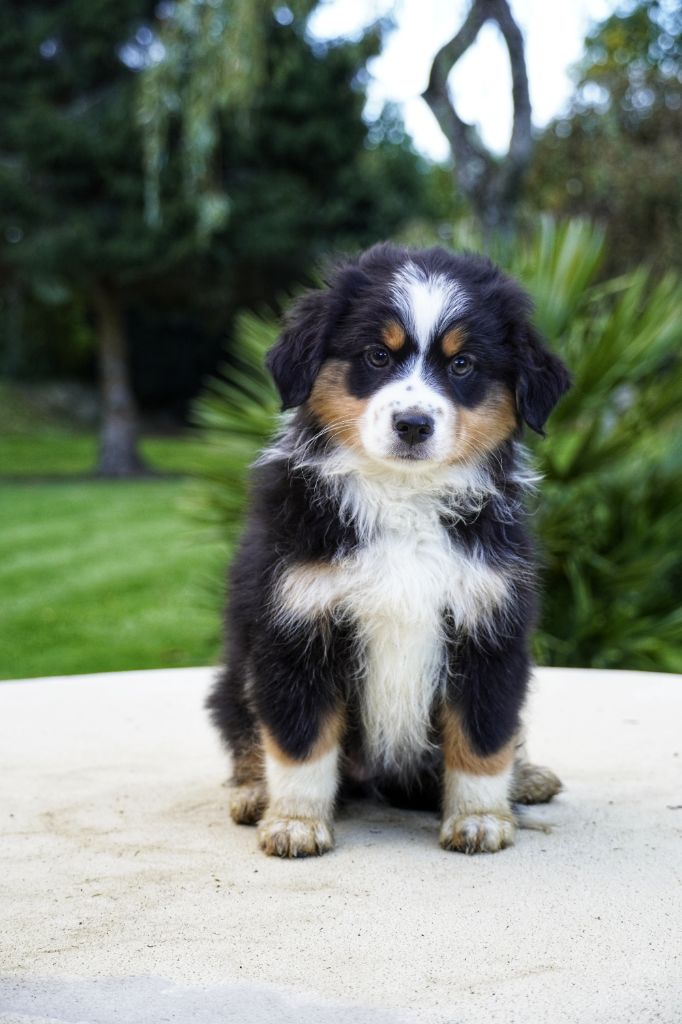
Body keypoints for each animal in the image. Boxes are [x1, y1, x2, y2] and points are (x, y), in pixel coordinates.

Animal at [207, 242, 570, 858]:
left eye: (462, 365)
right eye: (377, 355)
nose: (413, 424)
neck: (403, 498)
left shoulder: (489, 626)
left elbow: (483, 735)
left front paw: (479, 819)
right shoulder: (296, 627)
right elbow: (301, 741)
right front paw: (295, 823)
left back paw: (527, 778)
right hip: (233, 681)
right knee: (250, 736)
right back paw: (254, 793)